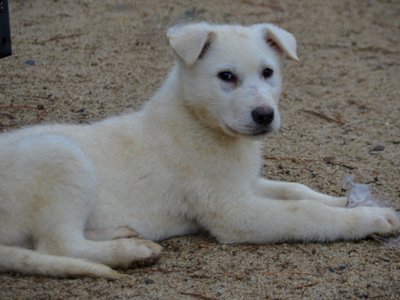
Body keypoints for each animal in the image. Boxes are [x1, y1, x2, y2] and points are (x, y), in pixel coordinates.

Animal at [0, 22, 400, 278]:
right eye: (226, 77)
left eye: (268, 72)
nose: (264, 115)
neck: (201, 123)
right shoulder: (232, 211)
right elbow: (305, 213)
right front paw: (369, 218)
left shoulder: (244, 184)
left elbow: (295, 190)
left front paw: (345, 201)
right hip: (60, 156)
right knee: (57, 245)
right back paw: (130, 253)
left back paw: (122, 234)